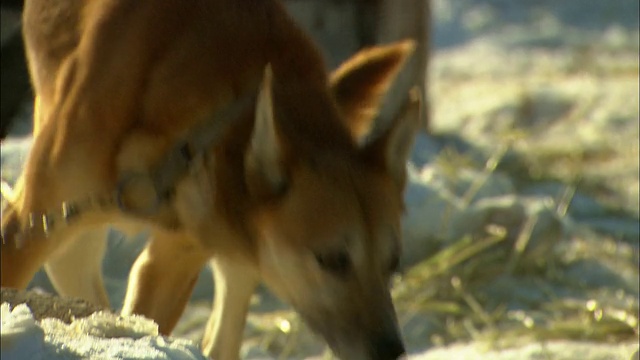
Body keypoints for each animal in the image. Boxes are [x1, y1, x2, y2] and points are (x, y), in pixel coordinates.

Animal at [2, 1, 422, 358]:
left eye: (393, 261)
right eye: (332, 259)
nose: (391, 351)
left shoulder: (181, 251)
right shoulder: (29, 227)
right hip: (68, 239)